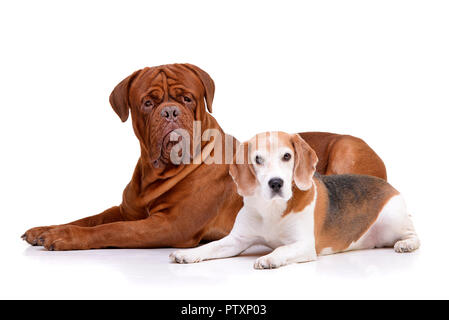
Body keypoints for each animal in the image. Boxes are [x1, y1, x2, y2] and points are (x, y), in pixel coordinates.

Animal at [21, 63, 384, 251]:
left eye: (187, 98)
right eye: (148, 103)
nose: (170, 112)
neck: (156, 174)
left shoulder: (170, 226)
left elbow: (111, 231)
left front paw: (64, 238)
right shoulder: (127, 210)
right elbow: (92, 219)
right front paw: (47, 229)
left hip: (347, 148)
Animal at [169, 131, 420, 268]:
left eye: (287, 156)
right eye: (257, 159)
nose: (276, 183)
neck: (271, 209)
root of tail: (388, 185)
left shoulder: (304, 245)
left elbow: (281, 249)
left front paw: (269, 259)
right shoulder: (236, 240)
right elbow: (210, 247)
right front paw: (187, 254)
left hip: (393, 218)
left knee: (414, 235)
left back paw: (406, 244)